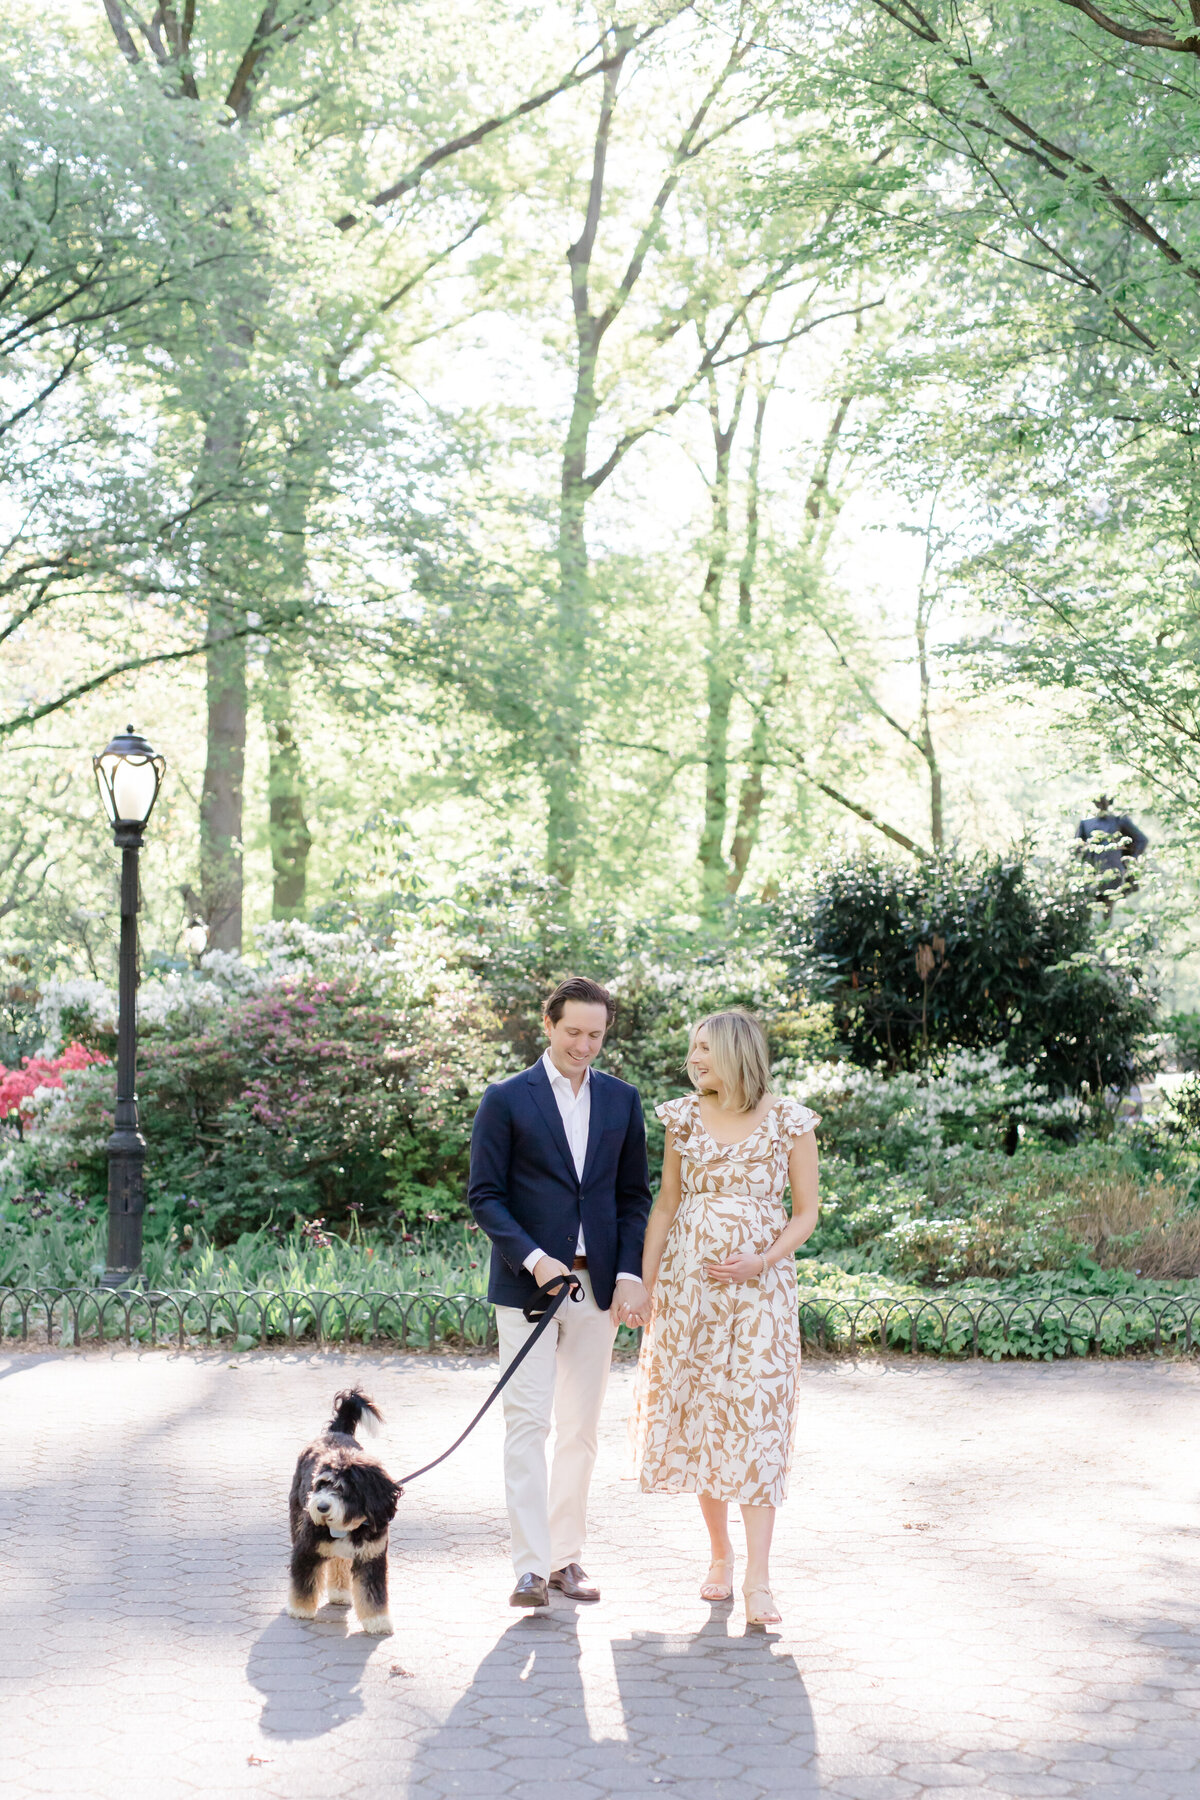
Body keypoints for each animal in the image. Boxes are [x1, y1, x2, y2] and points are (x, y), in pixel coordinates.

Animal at [287, 1382, 401, 1641]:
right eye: (321, 1485)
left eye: (343, 1489)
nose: (320, 1507)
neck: (349, 1527)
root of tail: (337, 1432)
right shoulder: (307, 1548)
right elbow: (303, 1582)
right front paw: (300, 1609)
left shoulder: (372, 1557)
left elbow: (373, 1593)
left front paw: (378, 1621)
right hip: (296, 1518)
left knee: (339, 1561)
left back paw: (339, 1591)